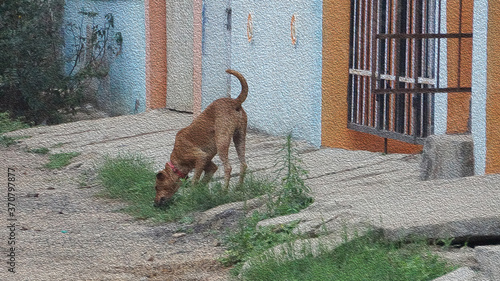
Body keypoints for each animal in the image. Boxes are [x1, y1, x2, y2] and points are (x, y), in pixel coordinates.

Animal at [154, 70, 248, 206]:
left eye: (157, 187)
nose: (154, 204)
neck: (177, 161)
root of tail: (234, 102)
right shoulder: (209, 166)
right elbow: (202, 182)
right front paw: (199, 194)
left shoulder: (200, 158)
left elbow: (195, 181)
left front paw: (191, 198)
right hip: (240, 137)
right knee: (243, 164)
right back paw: (239, 187)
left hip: (222, 141)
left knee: (228, 167)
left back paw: (224, 191)